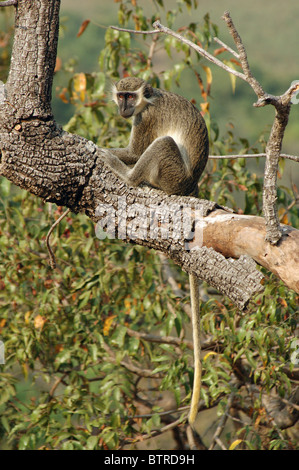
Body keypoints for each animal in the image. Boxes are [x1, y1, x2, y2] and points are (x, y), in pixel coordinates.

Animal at [104, 76, 210, 426]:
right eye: (120, 95)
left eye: (129, 96)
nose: (122, 108)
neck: (146, 102)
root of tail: (190, 186)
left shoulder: (145, 119)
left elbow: (136, 151)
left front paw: (104, 150)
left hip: (171, 173)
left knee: (160, 146)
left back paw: (128, 176)